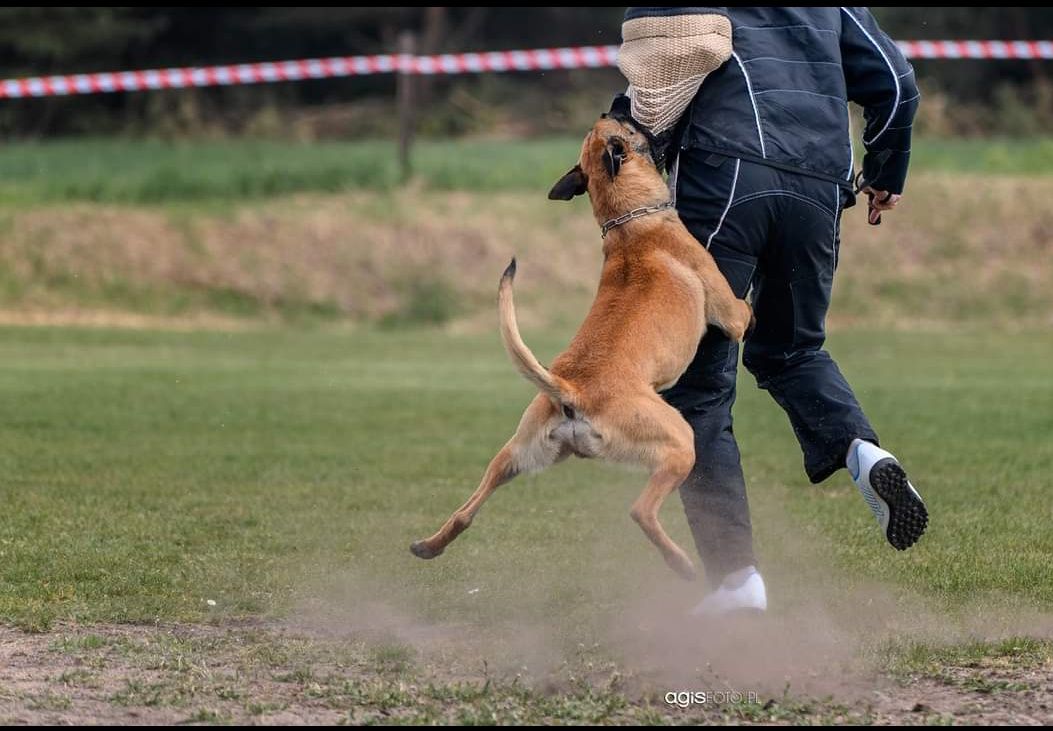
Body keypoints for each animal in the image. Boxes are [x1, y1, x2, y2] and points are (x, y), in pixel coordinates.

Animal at [406, 114, 753, 581]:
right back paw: (681, 565)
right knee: (641, 511)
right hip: (680, 441)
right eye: (626, 125)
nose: (618, 110)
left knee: (465, 512)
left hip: (515, 454)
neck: (626, 223)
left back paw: (428, 546)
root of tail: (574, 392)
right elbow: (745, 312)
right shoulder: (729, 314)